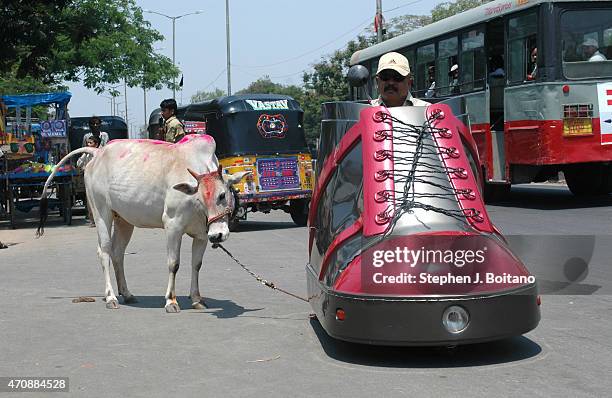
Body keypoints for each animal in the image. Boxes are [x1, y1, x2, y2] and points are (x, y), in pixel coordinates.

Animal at [38, 135, 249, 312]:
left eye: (222, 195)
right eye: (200, 197)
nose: (218, 235)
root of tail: (98, 152)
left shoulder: (202, 234)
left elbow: (196, 264)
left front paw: (197, 299)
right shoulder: (172, 226)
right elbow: (174, 263)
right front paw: (171, 300)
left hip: (123, 220)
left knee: (117, 252)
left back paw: (127, 293)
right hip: (101, 213)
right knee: (104, 251)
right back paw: (111, 297)